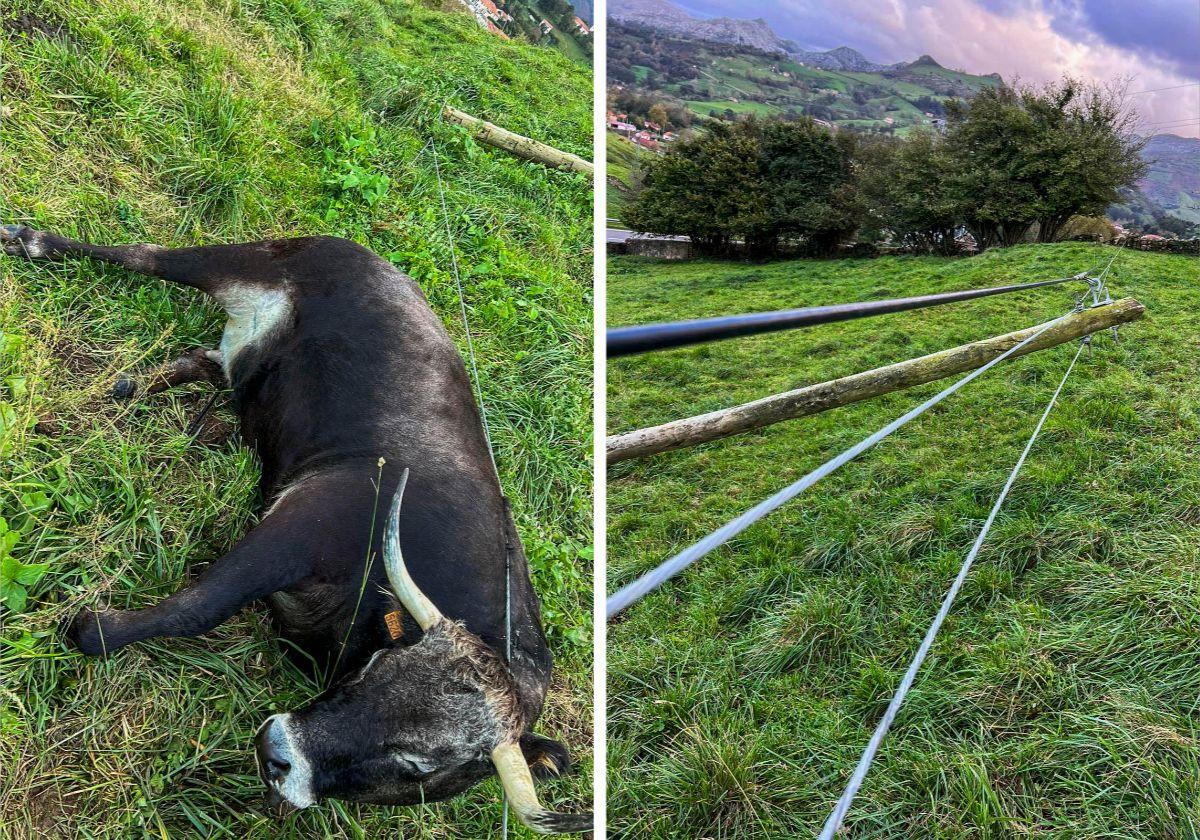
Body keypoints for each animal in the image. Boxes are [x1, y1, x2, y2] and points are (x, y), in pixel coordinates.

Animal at [2, 223, 592, 835]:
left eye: (416, 766)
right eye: (379, 667)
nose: (276, 752)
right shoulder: (302, 521)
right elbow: (200, 606)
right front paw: (89, 627)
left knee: (203, 363)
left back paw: (136, 392)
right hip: (248, 261)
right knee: (147, 256)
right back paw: (29, 241)